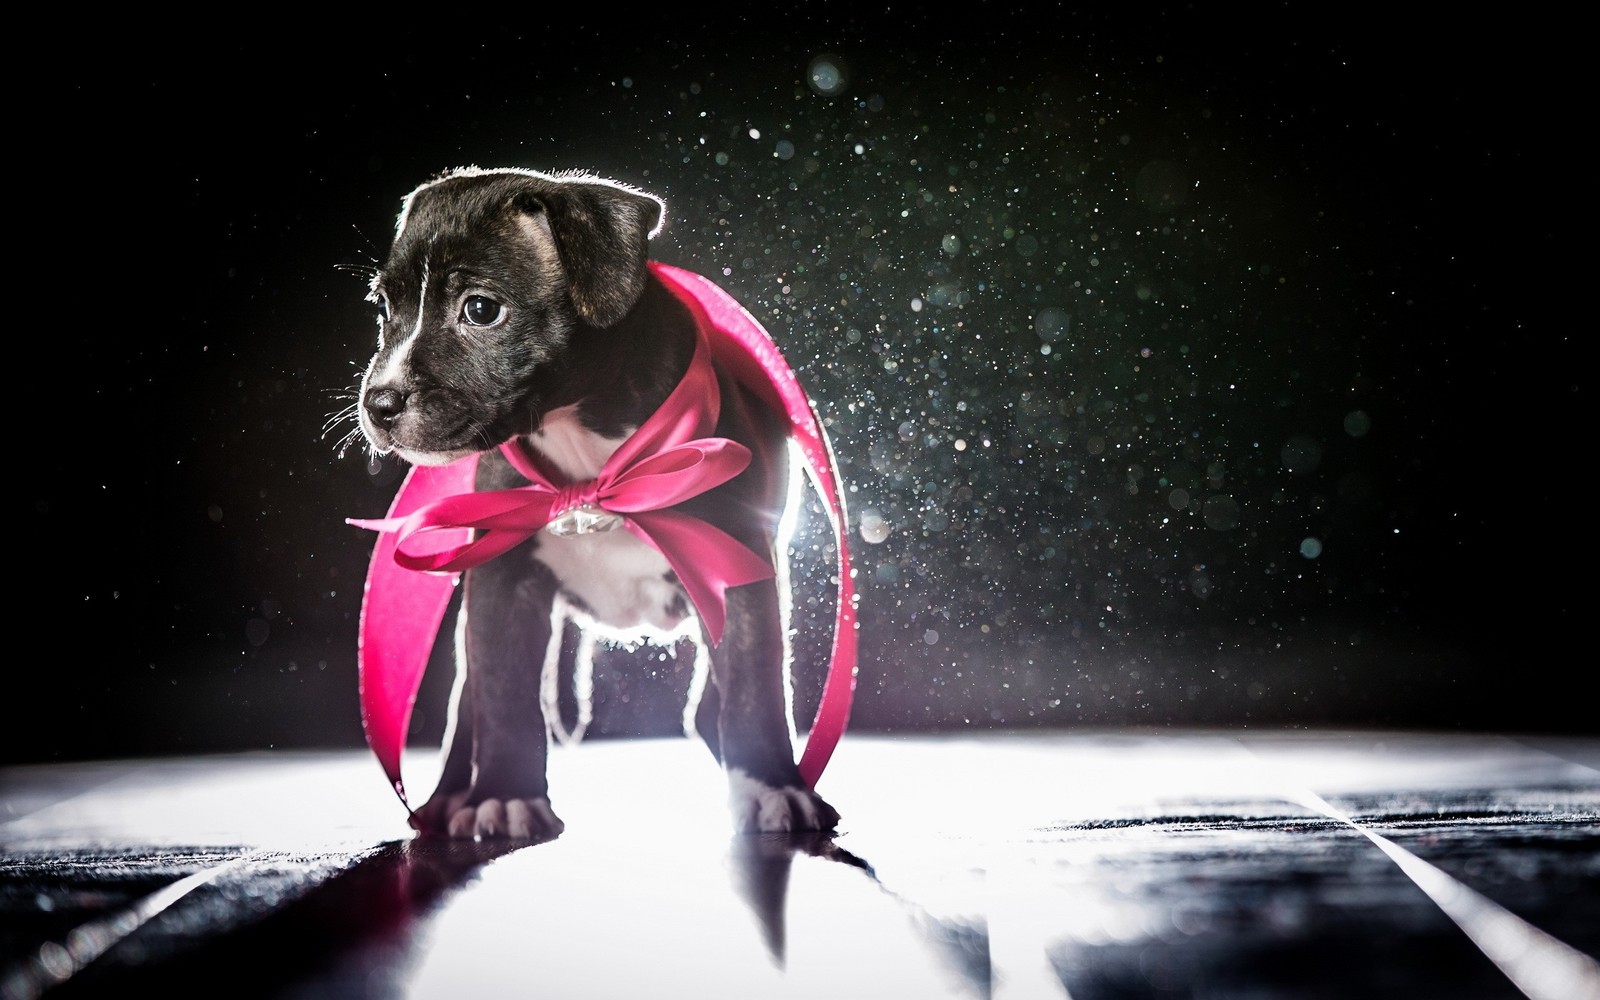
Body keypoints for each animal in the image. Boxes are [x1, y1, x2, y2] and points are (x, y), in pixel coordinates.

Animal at [350, 168, 838, 838]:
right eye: (384, 309)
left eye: (481, 309)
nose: (379, 402)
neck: (586, 452)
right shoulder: (502, 583)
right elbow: (504, 697)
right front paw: (505, 795)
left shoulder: (733, 565)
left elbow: (753, 685)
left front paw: (770, 786)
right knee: (470, 703)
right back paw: (453, 796)